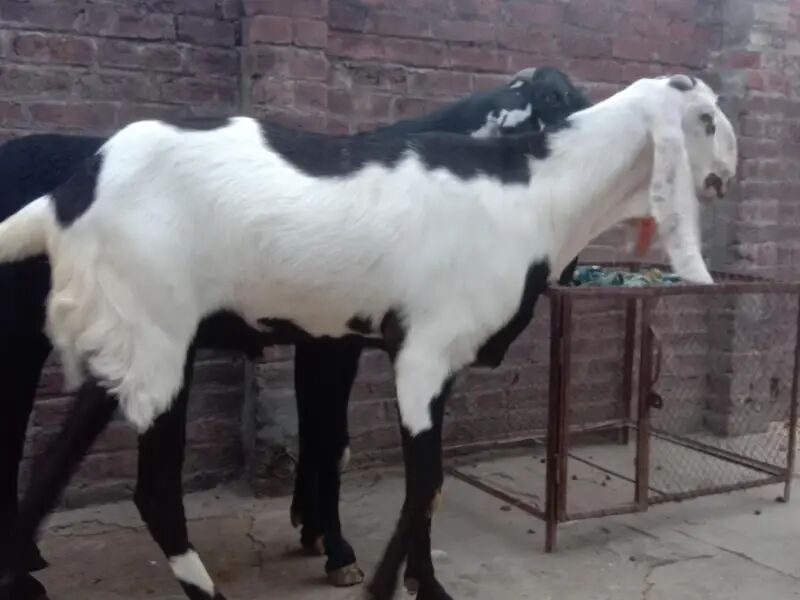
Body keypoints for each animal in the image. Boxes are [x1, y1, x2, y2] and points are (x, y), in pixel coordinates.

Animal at [0, 73, 737, 600]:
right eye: (707, 119)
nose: (727, 176)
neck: (538, 187)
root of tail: (66, 196)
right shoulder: (420, 352)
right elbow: (421, 480)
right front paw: (378, 580)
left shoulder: (437, 364)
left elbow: (420, 481)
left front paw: (425, 585)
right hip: (156, 345)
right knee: (151, 493)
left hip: (125, 342)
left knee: (53, 465)